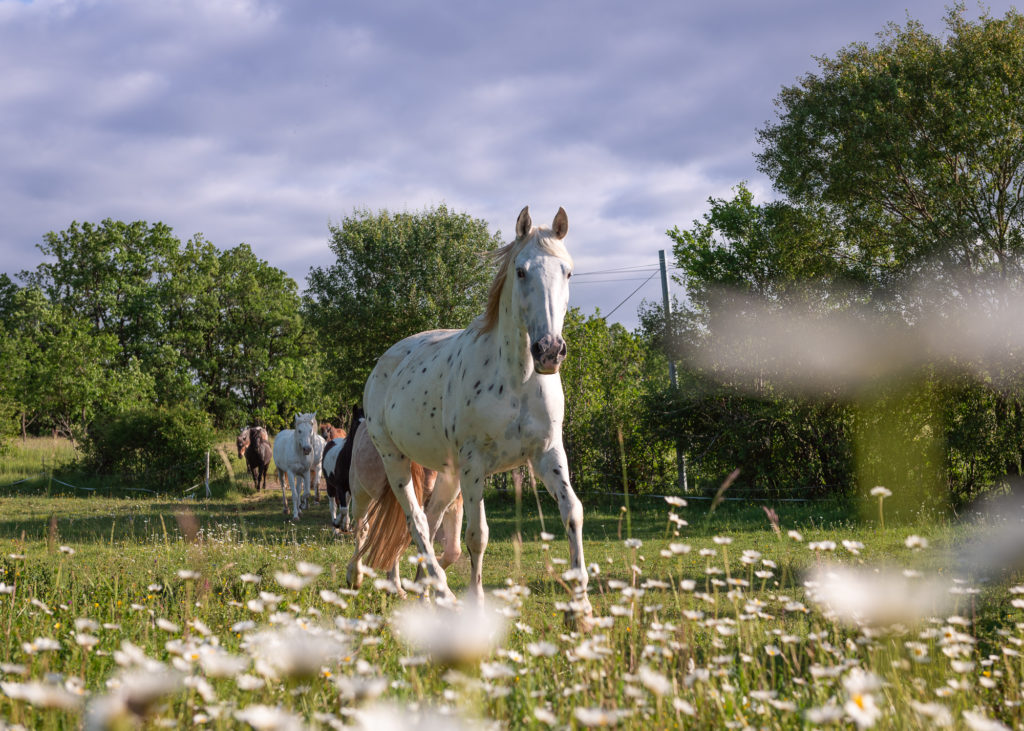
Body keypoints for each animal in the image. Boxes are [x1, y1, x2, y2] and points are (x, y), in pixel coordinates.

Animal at [358, 204, 593, 622]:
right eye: (521, 271)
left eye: (567, 271)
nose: (550, 350)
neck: (517, 380)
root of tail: (386, 361)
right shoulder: (475, 464)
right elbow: (477, 535)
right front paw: (476, 603)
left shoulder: (548, 454)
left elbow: (573, 512)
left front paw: (580, 607)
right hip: (397, 462)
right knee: (417, 523)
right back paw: (443, 594)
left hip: (448, 475)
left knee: (431, 522)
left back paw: (425, 595)